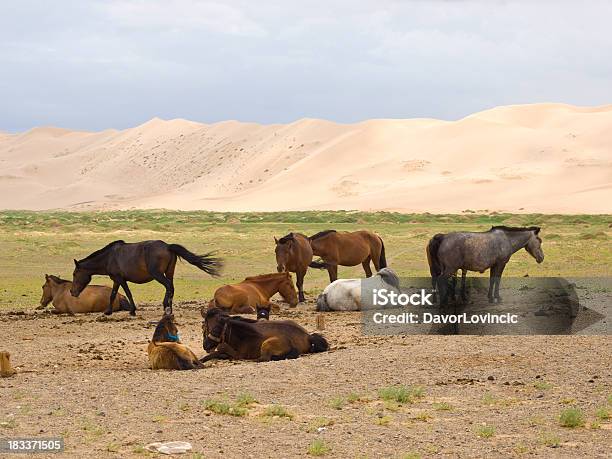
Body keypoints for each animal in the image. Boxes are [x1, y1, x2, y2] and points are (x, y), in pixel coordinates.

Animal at [70, 241, 222, 316]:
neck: (109, 257)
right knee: (171, 288)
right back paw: (169, 309)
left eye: (75, 274)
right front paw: (109, 311)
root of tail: (168, 246)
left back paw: (166, 307)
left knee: (168, 287)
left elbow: (126, 293)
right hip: (169, 273)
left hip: (158, 275)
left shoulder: (120, 279)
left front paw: (131, 311)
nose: (72, 292)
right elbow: (113, 295)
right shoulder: (117, 280)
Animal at [200, 310, 330, 362]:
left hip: (266, 344)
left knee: (264, 359)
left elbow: (217, 353)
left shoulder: (236, 354)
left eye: (215, 329)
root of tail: (308, 336)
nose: (205, 345)